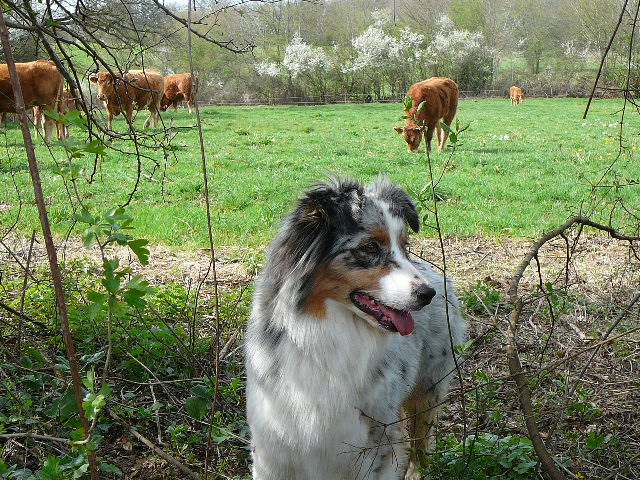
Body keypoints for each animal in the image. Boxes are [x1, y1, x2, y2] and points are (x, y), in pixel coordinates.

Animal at [245, 178, 464, 478]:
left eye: (404, 247)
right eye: (370, 247)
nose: (427, 294)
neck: (328, 333)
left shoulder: (368, 445)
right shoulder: (274, 447)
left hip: (427, 391)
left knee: (420, 447)